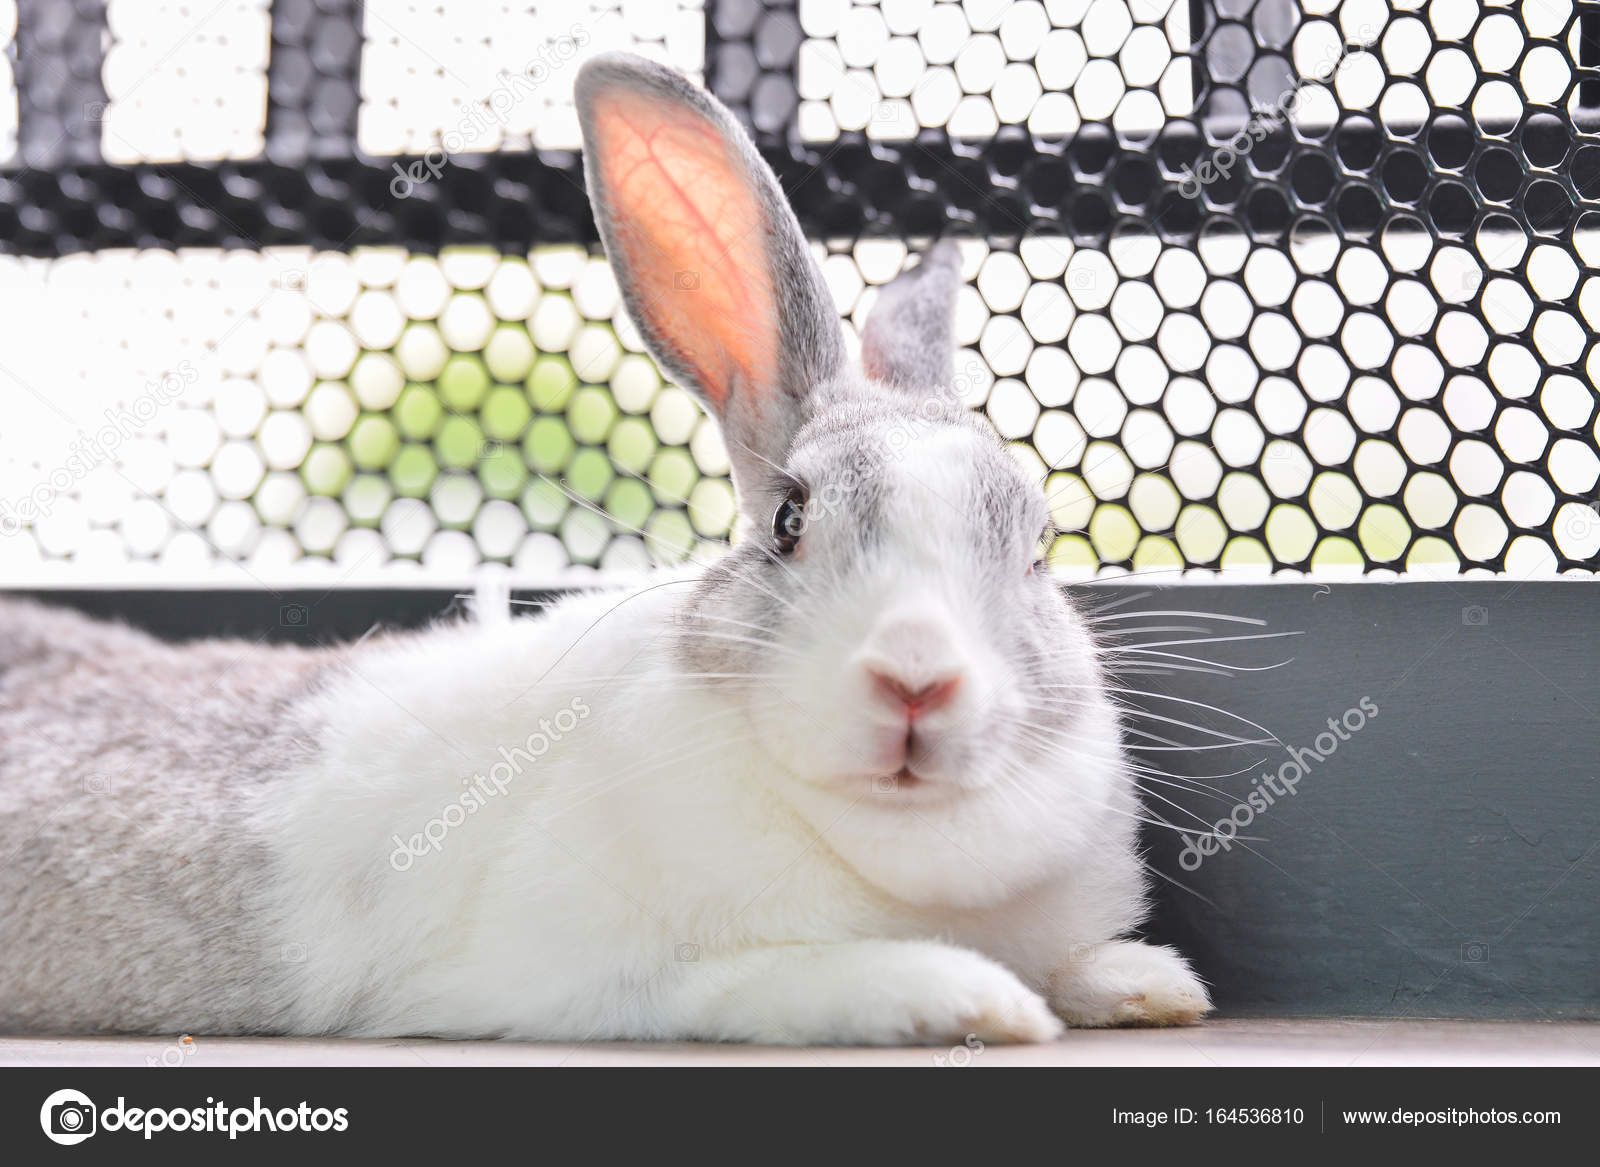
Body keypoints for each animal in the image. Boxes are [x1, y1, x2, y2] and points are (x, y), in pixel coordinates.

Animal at [0, 52, 1210, 1045]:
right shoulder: (607, 980)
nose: (916, 679)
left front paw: (1148, 983)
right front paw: (974, 1001)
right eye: (788, 521)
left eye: (1037, 542)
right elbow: (789, 980)